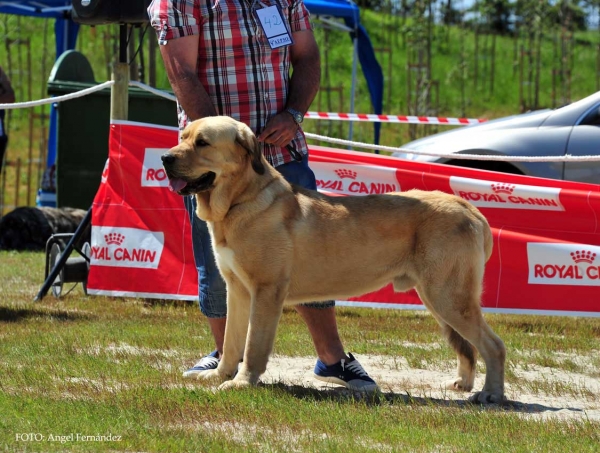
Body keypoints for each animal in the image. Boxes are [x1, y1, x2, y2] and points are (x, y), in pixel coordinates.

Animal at [161, 115, 506, 402]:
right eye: (183, 137)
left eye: (202, 142)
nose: (165, 158)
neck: (240, 200)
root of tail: (468, 207)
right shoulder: (237, 290)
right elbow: (232, 341)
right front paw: (220, 375)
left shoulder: (266, 291)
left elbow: (253, 344)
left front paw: (242, 382)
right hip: (438, 297)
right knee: (469, 345)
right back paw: (463, 382)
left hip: (449, 297)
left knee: (493, 345)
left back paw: (491, 394)